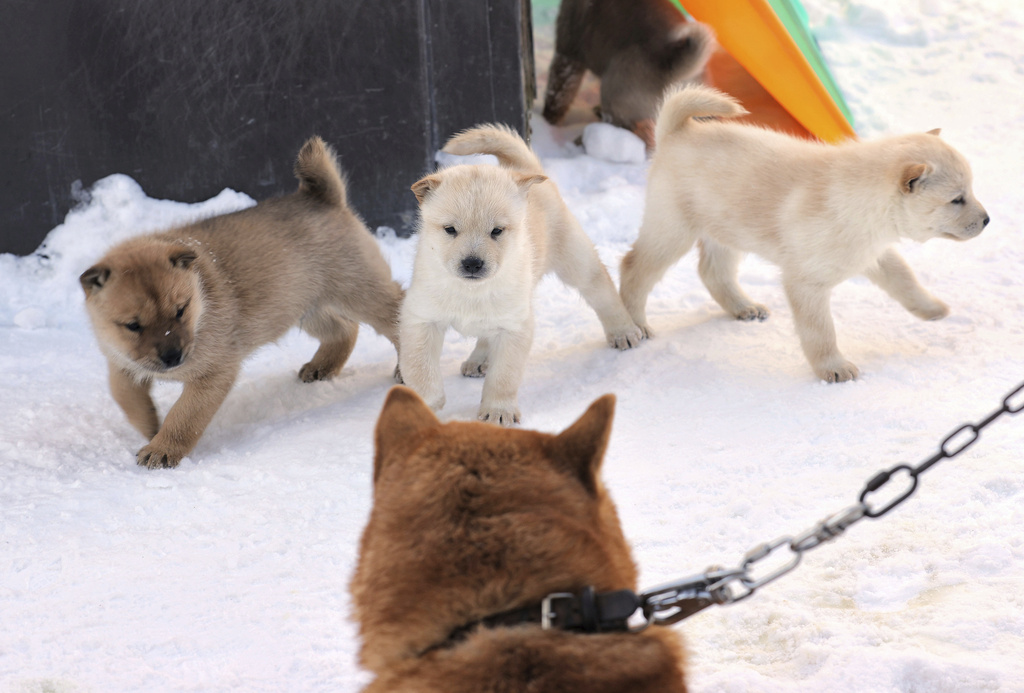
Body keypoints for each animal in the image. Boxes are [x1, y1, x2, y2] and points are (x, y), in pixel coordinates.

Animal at [79, 137, 403, 466]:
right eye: (133, 325)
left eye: (181, 310)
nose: (172, 357)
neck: (201, 306)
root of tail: (322, 197)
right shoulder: (121, 362)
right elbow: (125, 395)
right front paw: (150, 426)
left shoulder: (213, 374)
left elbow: (184, 416)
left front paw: (162, 448)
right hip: (302, 306)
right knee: (345, 330)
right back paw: (321, 367)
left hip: (359, 290)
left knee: (398, 314)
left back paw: (405, 369)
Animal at [397, 126, 638, 423]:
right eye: (450, 229)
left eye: (497, 231)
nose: (472, 264)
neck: (471, 291)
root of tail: (523, 168)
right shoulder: (420, 318)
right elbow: (420, 369)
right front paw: (425, 403)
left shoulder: (515, 327)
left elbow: (504, 376)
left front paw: (498, 411)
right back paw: (479, 360)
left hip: (576, 260)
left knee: (602, 291)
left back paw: (624, 332)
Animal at [544, 0, 712, 144]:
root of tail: (672, 66)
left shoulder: (567, 55)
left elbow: (557, 96)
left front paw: (547, 121)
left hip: (612, 93)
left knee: (622, 129)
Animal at [618, 84, 987, 382]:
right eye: (957, 199)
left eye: (969, 191)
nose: (987, 220)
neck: (866, 203)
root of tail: (678, 132)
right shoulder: (806, 282)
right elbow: (820, 331)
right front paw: (833, 368)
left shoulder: (875, 254)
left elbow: (905, 280)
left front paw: (932, 308)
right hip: (672, 230)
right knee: (633, 268)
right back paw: (633, 326)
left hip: (725, 231)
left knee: (712, 272)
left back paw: (744, 307)